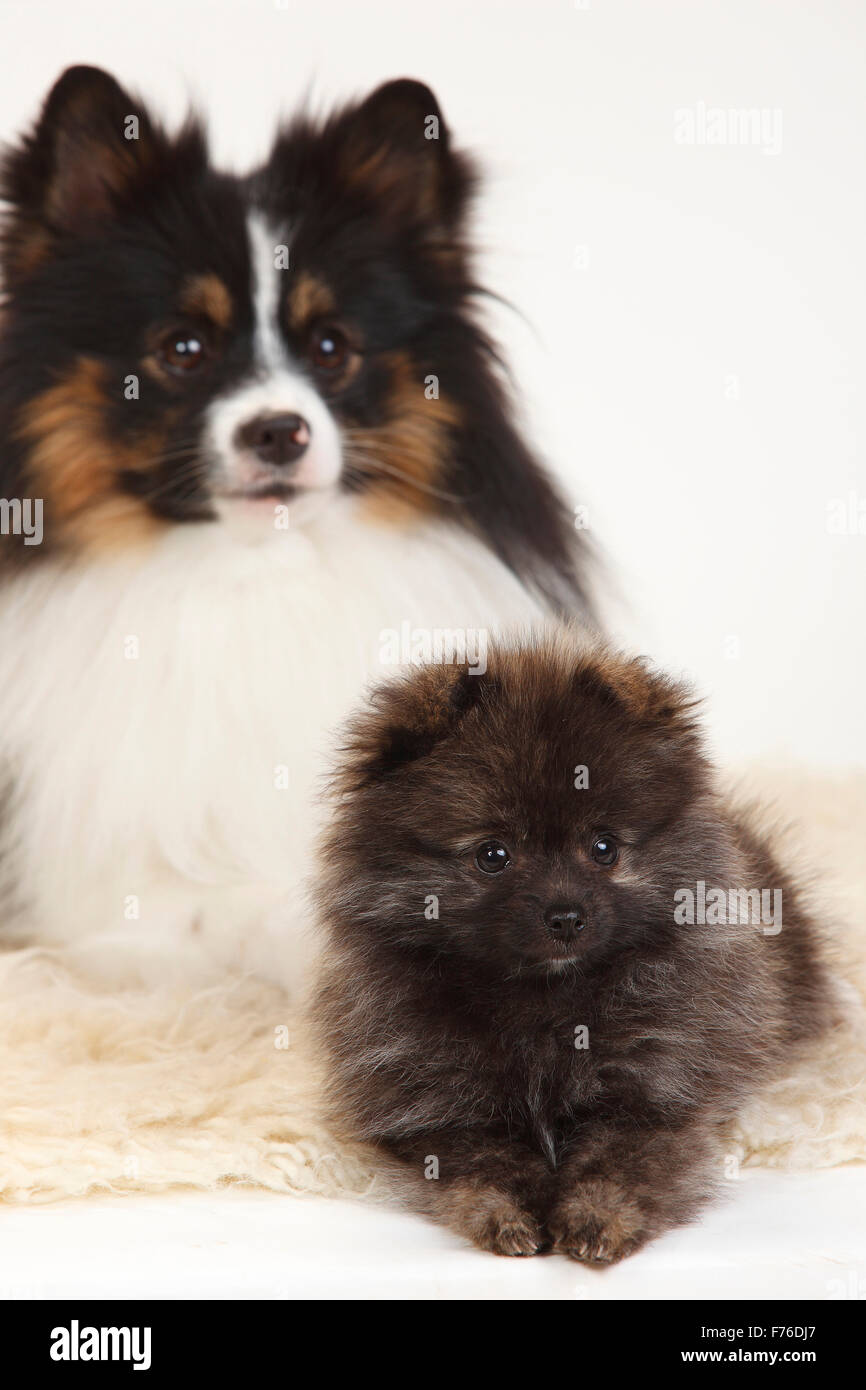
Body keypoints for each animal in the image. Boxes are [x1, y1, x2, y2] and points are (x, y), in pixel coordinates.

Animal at [311, 636, 834, 1267]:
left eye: (604, 848)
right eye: (493, 855)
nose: (565, 916)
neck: (545, 1002)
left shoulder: (656, 1090)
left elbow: (623, 1162)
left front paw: (597, 1219)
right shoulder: (430, 1101)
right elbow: (480, 1162)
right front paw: (507, 1216)